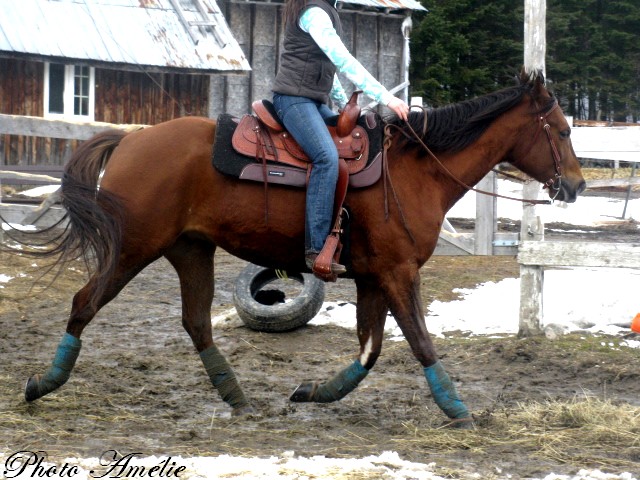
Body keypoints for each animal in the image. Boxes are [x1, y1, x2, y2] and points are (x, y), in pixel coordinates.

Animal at [18, 69, 584, 426]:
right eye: (561, 129)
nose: (576, 185)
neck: (414, 171)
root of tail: (132, 139)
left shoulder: (374, 277)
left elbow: (369, 351)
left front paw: (314, 392)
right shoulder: (399, 273)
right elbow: (419, 343)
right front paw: (458, 410)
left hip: (191, 250)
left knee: (196, 323)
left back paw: (238, 398)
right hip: (134, 248)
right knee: (85, 302)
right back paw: (41, 384)